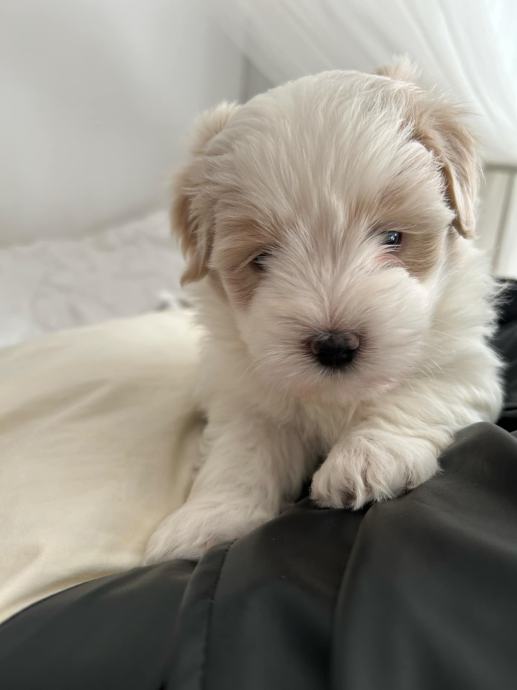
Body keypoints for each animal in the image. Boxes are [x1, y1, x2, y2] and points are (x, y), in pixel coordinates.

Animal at [145, 60, 503, 562]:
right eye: (261, 259)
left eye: (393, 237)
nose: (335, 345)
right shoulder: (246, 398)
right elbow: (241, 452)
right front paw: (209, 517)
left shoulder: (464, 365)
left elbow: (418, 393)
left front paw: (368, 458)